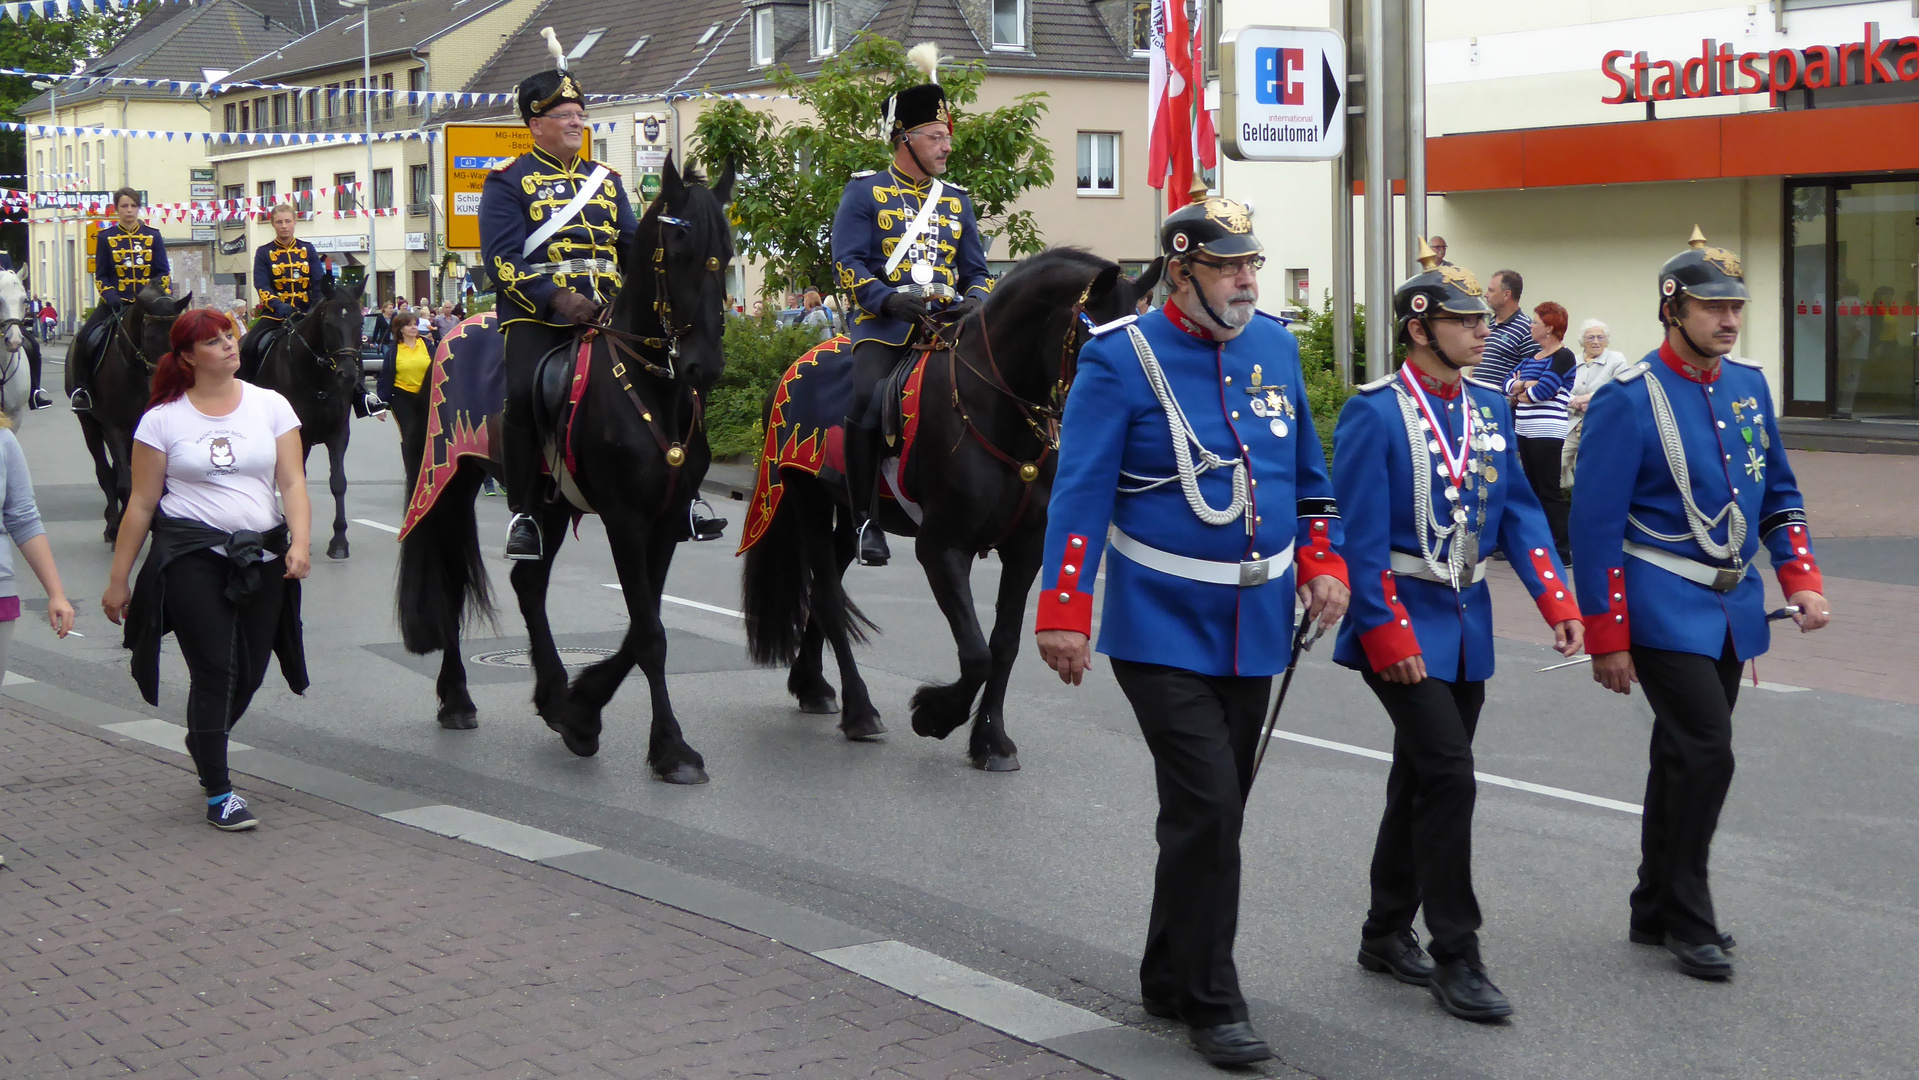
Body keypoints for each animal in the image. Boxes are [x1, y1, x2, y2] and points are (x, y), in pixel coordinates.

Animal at [78, 287, 192, 540]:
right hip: (89, 424)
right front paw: (120, 527)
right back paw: (113, 522)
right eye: (148, 334)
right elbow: (125, 482)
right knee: (106, 472)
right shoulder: (114, 428)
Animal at [247, 283, 366, 563]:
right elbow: (294, 479)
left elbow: (338, 482)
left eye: (360, 322)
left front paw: (339, 541)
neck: (317, 377)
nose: (348, 374)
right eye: (328, 323)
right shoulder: (296, 436)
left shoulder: (338, 434)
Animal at [395, 156, 733, 786]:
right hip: (448, 481)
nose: (705, 365)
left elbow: (643, 624)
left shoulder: (667, 521)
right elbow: (649, 635)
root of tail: (452, 329)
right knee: (452, 582)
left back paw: (553, 696)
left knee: (528, 585)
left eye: (724, 253)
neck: (652, 386)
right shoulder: (625, 521)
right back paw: (457, 698)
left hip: (546, 503)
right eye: (676, 249)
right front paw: (671, 748)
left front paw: (582, 707)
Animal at [736, 247, 1151, 767]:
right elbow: (976, 654)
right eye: (1097, 336)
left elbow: (1004, 645)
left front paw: (991, 740)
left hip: (848, 514)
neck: (995, 407)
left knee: (827, 585)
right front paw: (934, 715)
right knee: (828, 595)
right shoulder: (941, 547)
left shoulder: (1026, 551)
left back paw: (812, 686)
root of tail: (796, 365)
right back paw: (860, 712)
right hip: (807, 500)